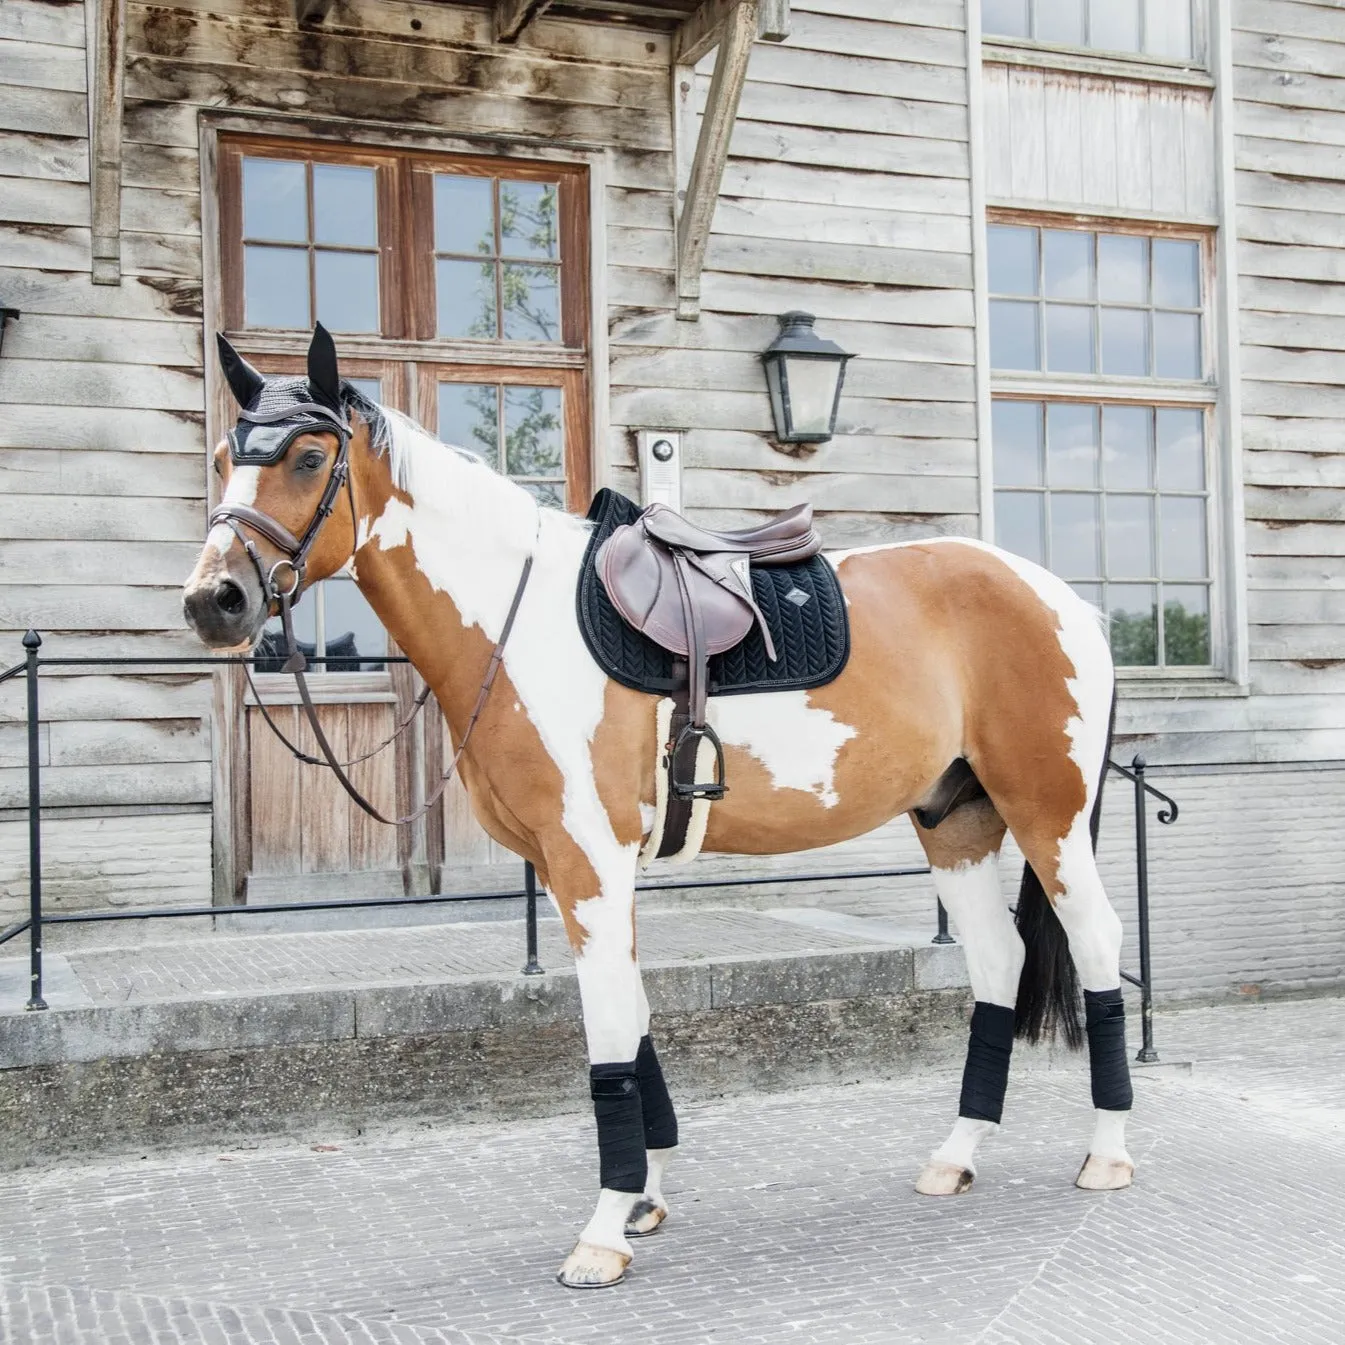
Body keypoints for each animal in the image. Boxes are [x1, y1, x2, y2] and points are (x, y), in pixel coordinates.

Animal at [181, 325, 1135, 1291]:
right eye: (223, 456)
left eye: (308, 457)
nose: (214, 601)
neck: (517, 626)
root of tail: (1067, 603)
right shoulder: (574, 867)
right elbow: (633, 1017)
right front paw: (644, 1195)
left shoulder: (588, 859)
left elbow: (608, 1030)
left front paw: (603, 1230)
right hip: (957, 821)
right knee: (997, 962)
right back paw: (956, 1154)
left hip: (1045, 813)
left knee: (1094, 942)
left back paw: (1106, 1152)